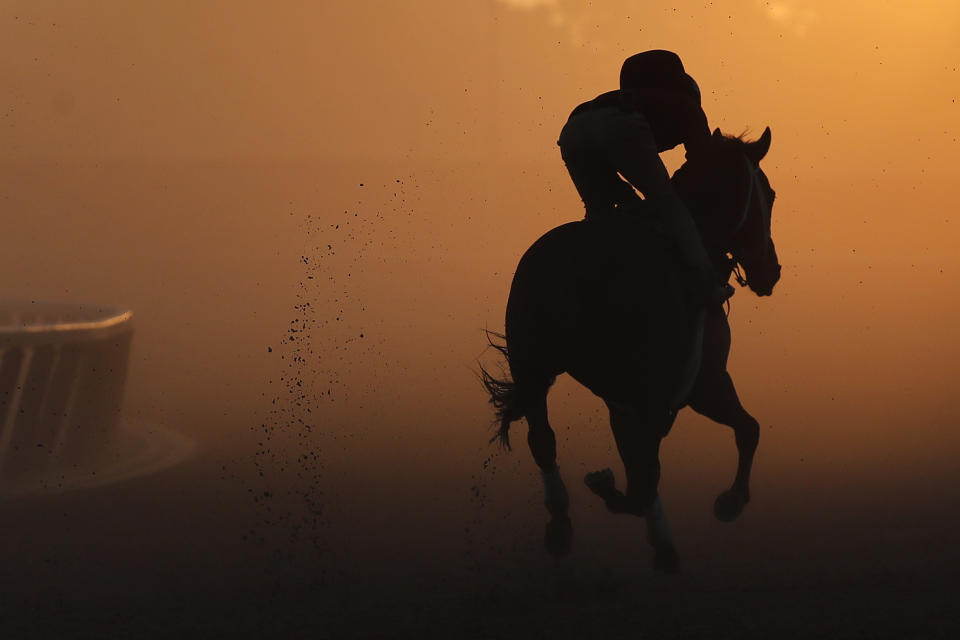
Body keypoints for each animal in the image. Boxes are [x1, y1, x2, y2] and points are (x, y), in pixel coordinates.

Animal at [480, 125, 780, 568]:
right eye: (769, 194)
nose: (770, 271)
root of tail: (566, 265)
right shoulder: (701, 384)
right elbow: (744, 431)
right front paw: (729, 501)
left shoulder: (630, 402)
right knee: (638, 473)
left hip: (531, 364)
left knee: (543, 441)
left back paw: (561, 526)